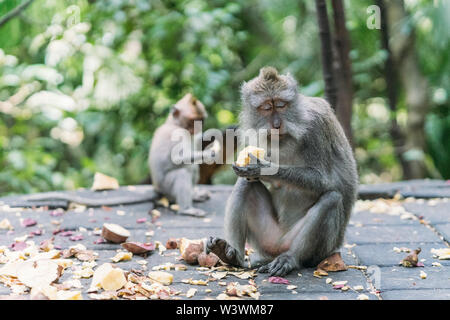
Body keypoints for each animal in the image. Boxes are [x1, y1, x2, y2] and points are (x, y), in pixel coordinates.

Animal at [207, 67, 358, 276]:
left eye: (280, 105)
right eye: (266, 107)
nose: (277, 124)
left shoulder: (316, 128)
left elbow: (323, 179)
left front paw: (264, 169)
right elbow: (248, 178)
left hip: (318, 250)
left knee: (331, 199)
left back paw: (291, 258)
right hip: (267, 239)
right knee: (245, 185)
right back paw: (232, 255)